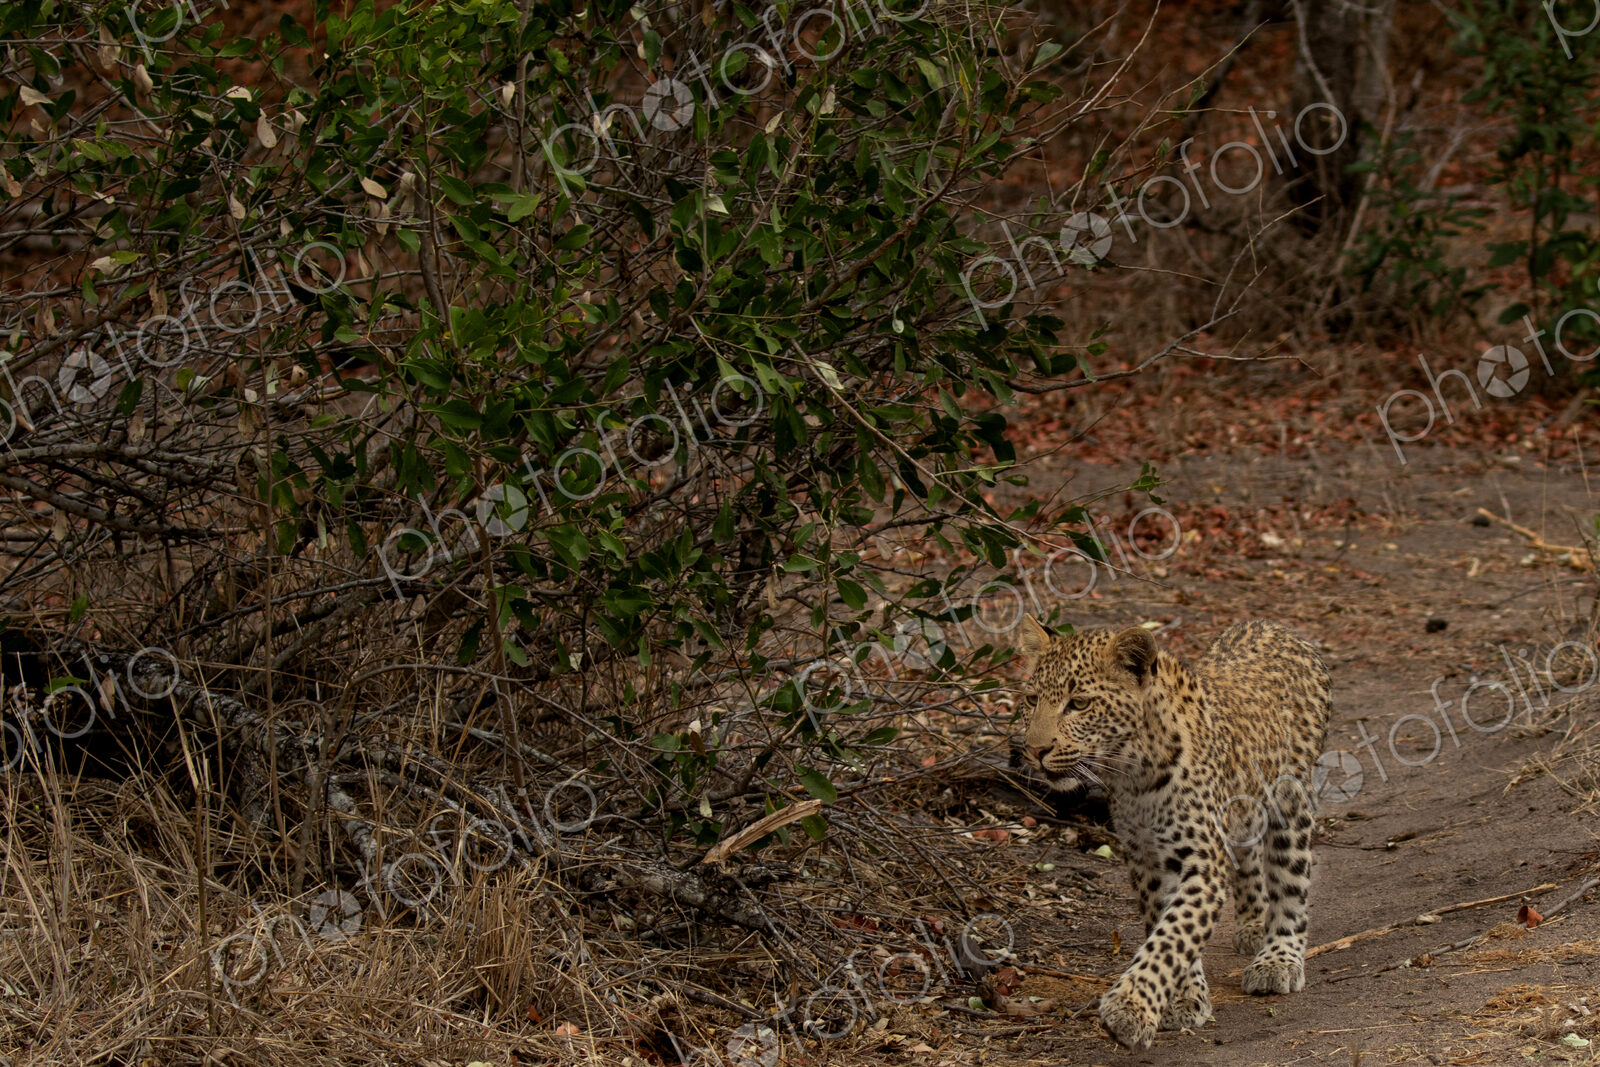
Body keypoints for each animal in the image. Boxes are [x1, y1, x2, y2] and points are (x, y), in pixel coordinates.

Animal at [1014, 615, 1330, 1051]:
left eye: (1079, 704)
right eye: (1031, 700)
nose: (1034, 750)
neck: (1134, 771)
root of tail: (1272, 625)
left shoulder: (1201, 861)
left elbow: (1173, 935)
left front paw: (1129, 1008)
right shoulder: (1146, 858)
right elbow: (1165, 926)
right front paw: (1182, 997)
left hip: (1291, 801)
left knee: (1291, 883)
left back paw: (1277, 958)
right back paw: (1252, 924)